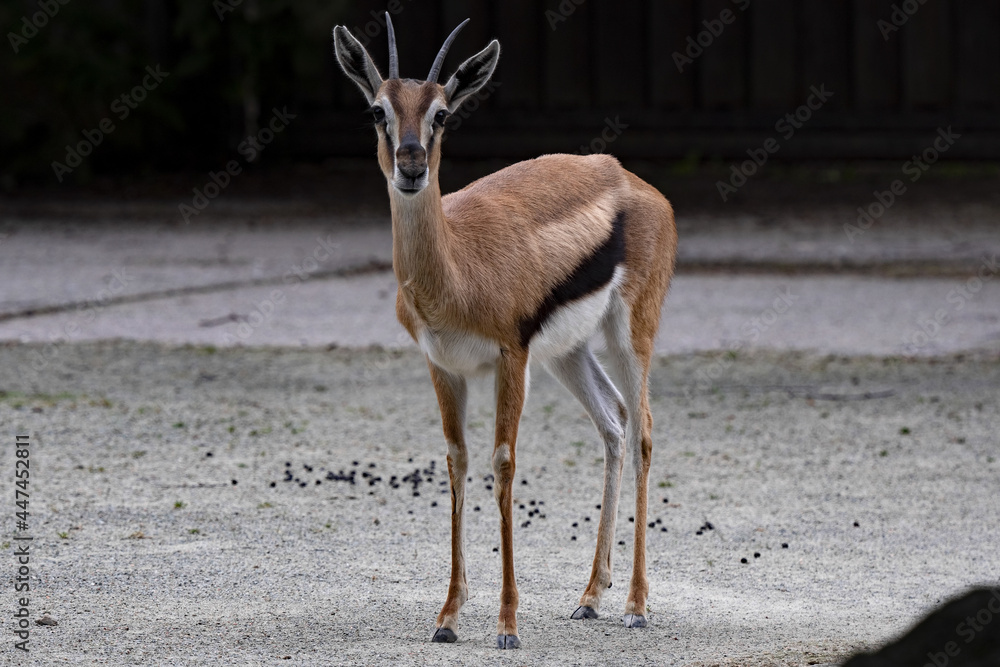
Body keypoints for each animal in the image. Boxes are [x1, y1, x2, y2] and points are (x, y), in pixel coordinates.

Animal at [333, 14, 677, 650]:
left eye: (442, 113)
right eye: (377, 110)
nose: (411, 166)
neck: (457, 269)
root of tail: (628, 178)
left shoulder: (509, 359)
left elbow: (502, 463)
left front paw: (508, 624)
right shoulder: (444, 366)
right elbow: (457, 461)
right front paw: (447, 616)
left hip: (629, 331)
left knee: (641, 428)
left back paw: (637, 605)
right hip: (568, 353)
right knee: (613, 422)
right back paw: (590, 597)